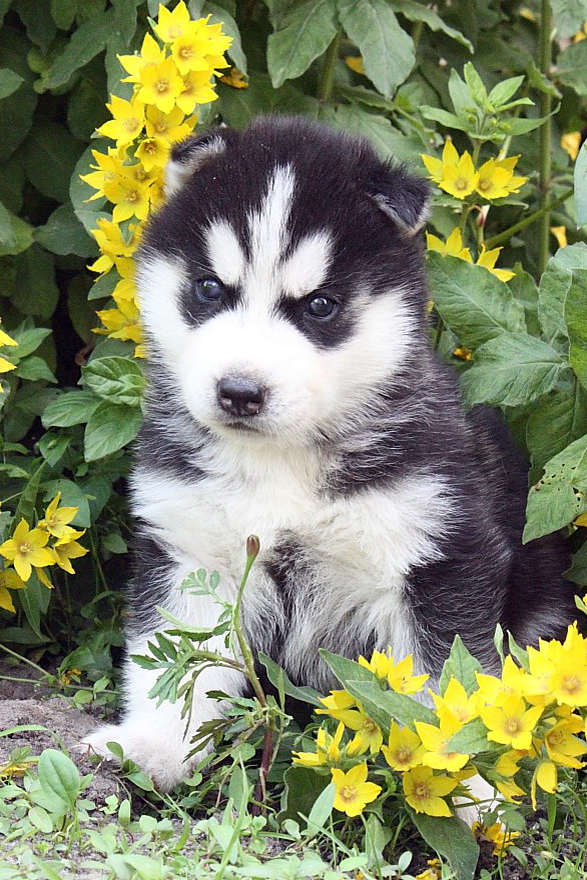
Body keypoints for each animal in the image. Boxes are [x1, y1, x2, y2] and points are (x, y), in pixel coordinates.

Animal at [84, 115, 574, 793]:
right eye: (209, 289)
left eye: (318, 305)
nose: (240, 392)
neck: (282, 460)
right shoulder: (193, 549)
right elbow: (174, 661)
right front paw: (151, 744)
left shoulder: (437, 555)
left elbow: (450, 683)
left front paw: (467, 784)